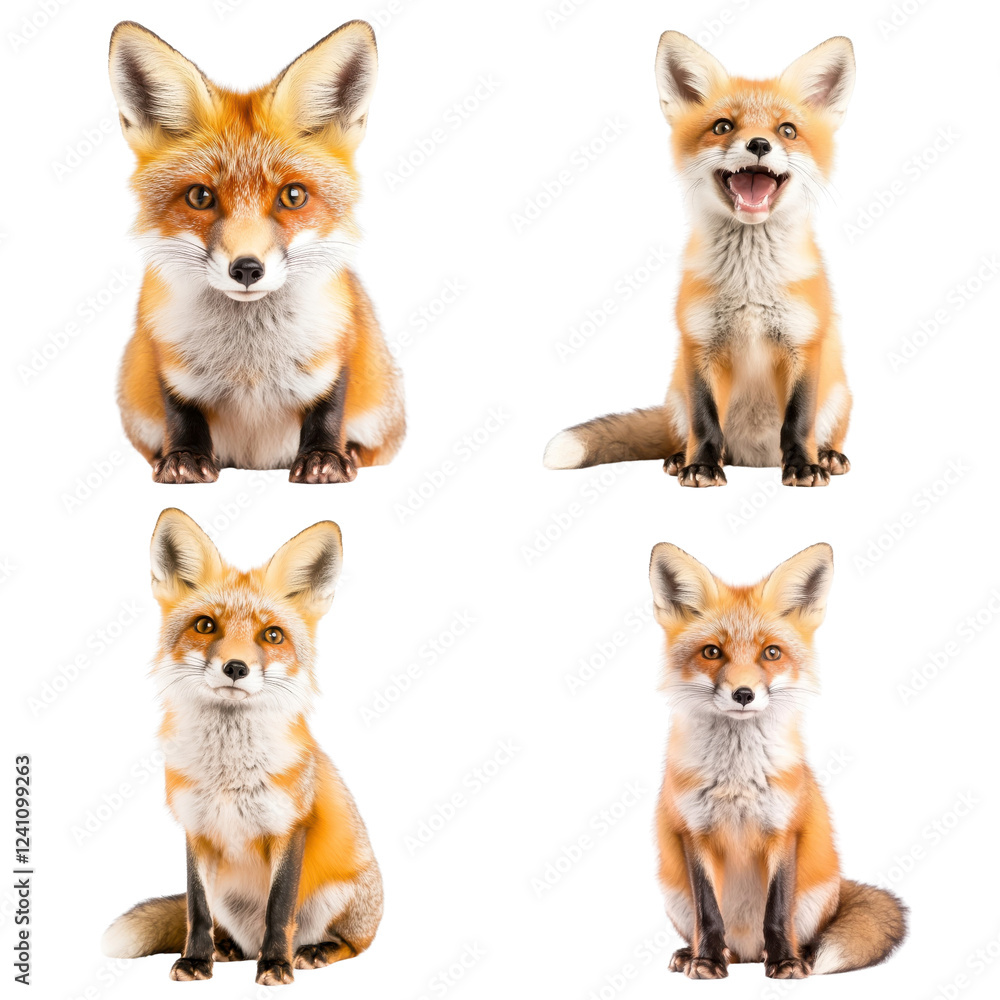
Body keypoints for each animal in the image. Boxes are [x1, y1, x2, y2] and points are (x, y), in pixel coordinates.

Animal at [101, 509, 382, 986]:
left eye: (272, 635)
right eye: (205, 625)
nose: (236, 667)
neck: (228, 776)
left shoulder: (290, 827)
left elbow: (279, 911)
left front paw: (276, 965)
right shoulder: (196, 829)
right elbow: (196, 909)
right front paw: (196, 960)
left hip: (340, 899)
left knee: (353, 944)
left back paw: (314, 951)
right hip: (228, 899)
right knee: (226, 928)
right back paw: (228, 949)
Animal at [107, 21, 404, 484]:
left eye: (293, 196)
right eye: (200, 197)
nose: (247, 268)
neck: (250, 361)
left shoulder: (341, 340)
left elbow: (329, 407)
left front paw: (325, 458)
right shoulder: (162, 352)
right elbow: (179, 411)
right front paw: (183, 458)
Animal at [545, 32, 856, 487]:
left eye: (787, 130)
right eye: (723, 126)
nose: (759, 144)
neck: (749, 287)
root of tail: (754, 457)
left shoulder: (804, 342)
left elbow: (799, 419)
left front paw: (803, 465)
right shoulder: (699, 342)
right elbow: (705, 418)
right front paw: (702, 466)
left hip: (839, 394)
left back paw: (828, 455)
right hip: (675, 393)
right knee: (687, 432)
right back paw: (682, 457)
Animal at [647, 541, 906, 978]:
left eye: (771, 653)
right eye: (712, 652)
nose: (744, 694)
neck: (737, 780)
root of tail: (748, 950)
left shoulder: (784, 829)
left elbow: (777, 909)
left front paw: (785, 961)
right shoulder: (693, 833)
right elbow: (708, 911)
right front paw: (706, 961)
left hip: (817, 897)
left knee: (802, 933)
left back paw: (797, 954)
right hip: (672, 894)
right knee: (711, 934)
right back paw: (697, 954)